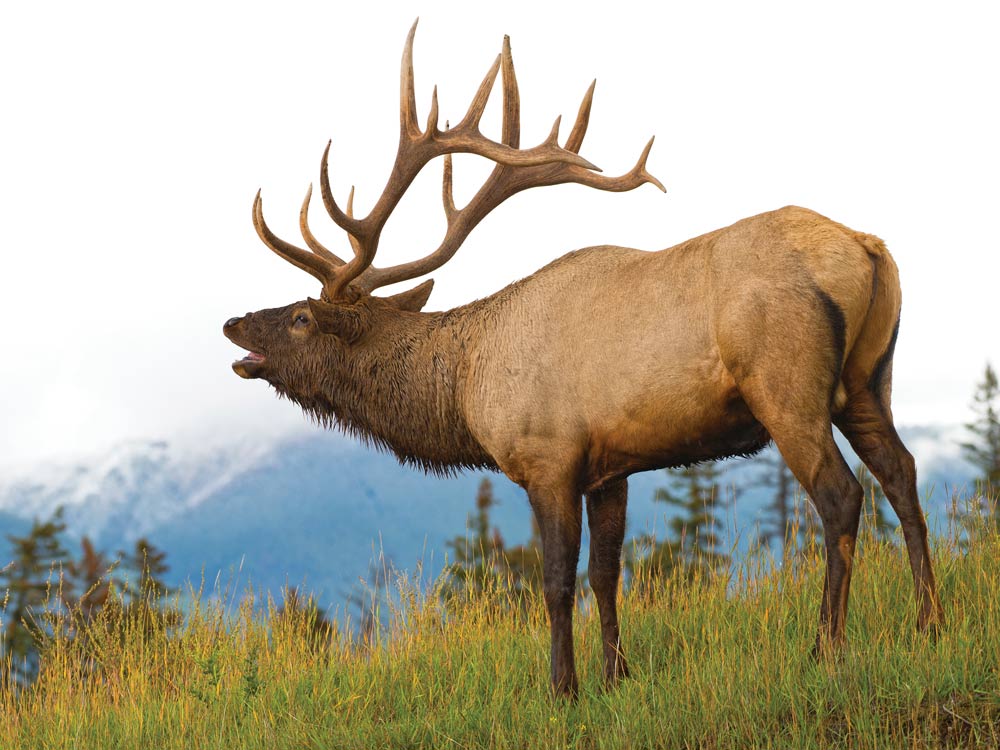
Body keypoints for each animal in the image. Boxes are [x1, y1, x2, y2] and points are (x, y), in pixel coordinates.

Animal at [223, 22, 943, 697]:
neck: (467, 387)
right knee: (901, 472)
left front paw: (563, 688)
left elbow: (555, 581)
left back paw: (826, 649)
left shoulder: (548, 457)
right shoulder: (609, 467)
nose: (233, 322)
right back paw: (929, 623)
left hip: (787, 386)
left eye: (300, 319)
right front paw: (616, 675)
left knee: (842, 495)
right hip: (867, 382)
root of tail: (869, 248)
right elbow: (605, 574)